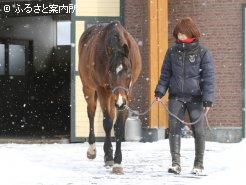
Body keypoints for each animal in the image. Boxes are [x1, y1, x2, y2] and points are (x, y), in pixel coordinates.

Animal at [77, 20, 142, 173]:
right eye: (111, 72)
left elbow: (118, 126)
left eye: (129, 72)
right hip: (89, 88)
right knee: (91, 113)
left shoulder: (127, 94)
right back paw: (93, 150)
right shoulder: (102, 90)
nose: (120, 103)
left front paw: (117, 162)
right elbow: (107, 123)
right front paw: (109, 157)